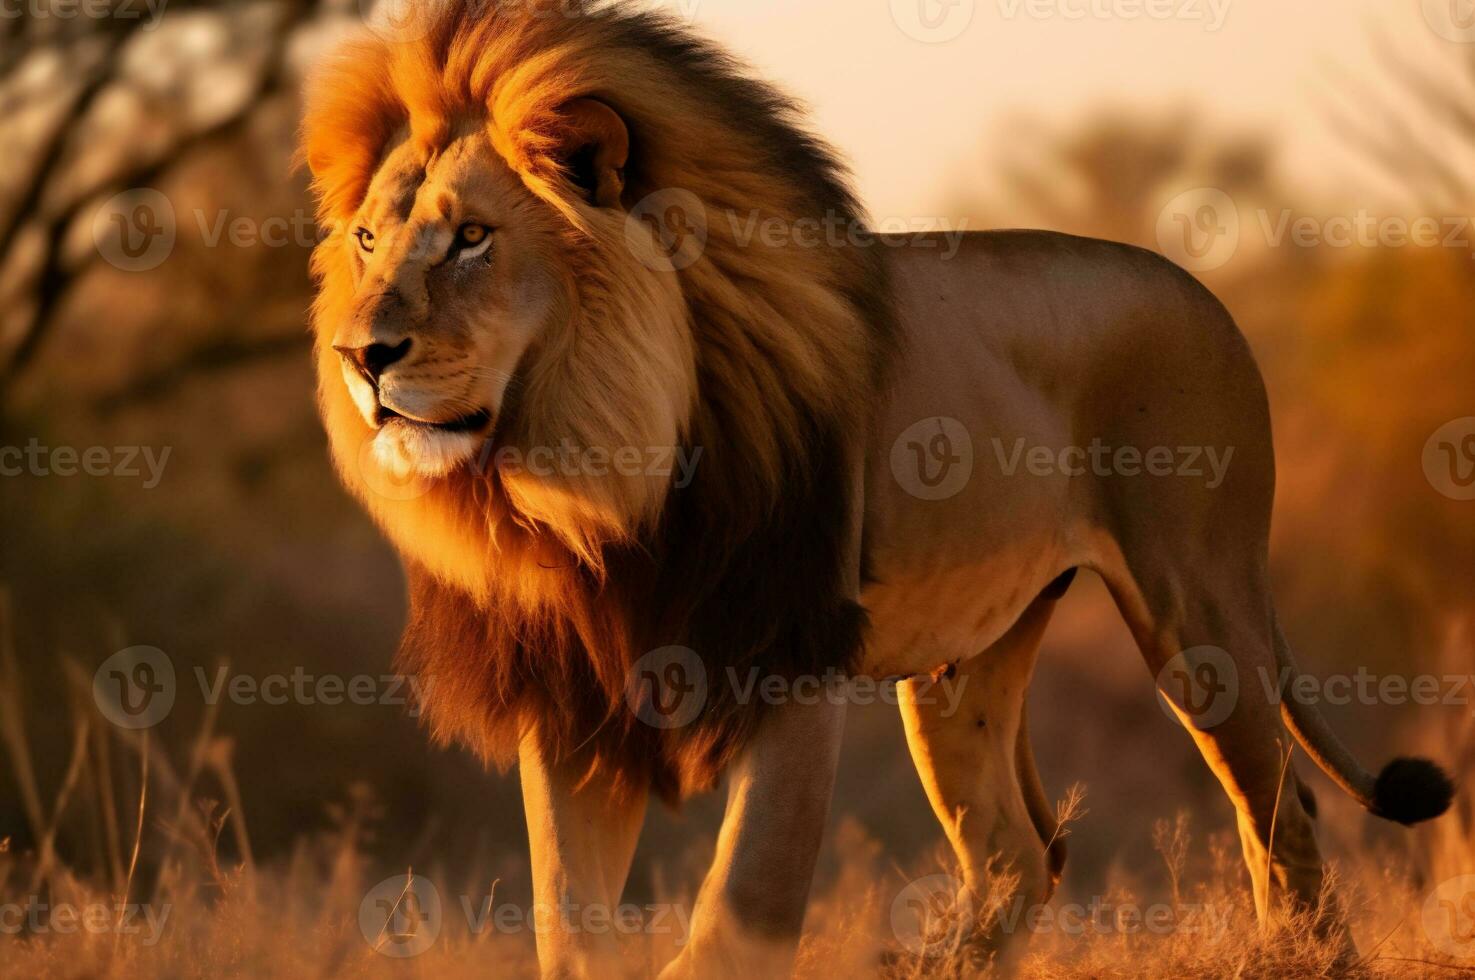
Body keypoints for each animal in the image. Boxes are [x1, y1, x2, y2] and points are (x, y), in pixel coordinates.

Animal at [299, 3, 1451, 974]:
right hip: (964, 668)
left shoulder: (793, 654)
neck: (589, 478)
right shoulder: (569, 691)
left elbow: (737, 912)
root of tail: (1207, 295)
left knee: (1281, 816)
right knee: (1018, 856)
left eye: (472, 238)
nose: (362, 356)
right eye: (367, 239)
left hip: (1199, 610)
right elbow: (567, 927)